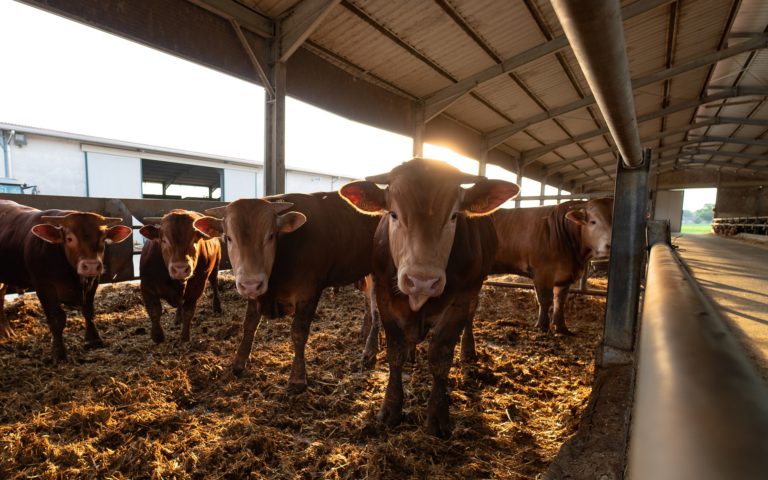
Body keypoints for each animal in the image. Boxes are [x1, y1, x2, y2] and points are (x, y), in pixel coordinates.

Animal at [0, 199, 131, 360]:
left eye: (102, 239)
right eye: (69, 239)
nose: (91, 265)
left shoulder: (94, 281)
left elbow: (88, 311)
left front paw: (94, 339)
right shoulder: (44, 286)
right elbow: (57, 318)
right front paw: (59, 351)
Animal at [138, 209, 220, 342]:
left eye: (195, 240)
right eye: (164, 240)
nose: (180, 269)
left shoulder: (197, 287)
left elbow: (188, 311)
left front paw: (185, 337)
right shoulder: (146, 286)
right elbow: (154, 311)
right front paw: (158, 336)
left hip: (215, 265)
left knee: (214, 283)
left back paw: (217, 307)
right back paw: (178, 317)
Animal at [195, 192, 380, 394]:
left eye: (271, 236)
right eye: (228, 238)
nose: (251, 284)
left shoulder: (308, 294)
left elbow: (299, 333)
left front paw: (297, 378)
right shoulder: (257, 293)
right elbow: (249, 325)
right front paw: (239, 362)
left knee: (377, 310)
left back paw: (370, 352)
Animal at [340, 159, 520, 436]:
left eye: (454, 216)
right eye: (393, 214)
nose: (422, 280)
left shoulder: (460, 299)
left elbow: (441, 358)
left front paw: (437, 417)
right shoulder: (384, 294)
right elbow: (395, 352)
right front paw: (390, 408)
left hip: (476, 287)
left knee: (471, 318)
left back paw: (468, 350)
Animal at [488, 197, 616, 336]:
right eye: (593, 221)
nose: (610, 245)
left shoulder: (564, 276)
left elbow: (560, 301)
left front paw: (561, 328)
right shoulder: (543, 272)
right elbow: (545, 300)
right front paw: (542, 326)